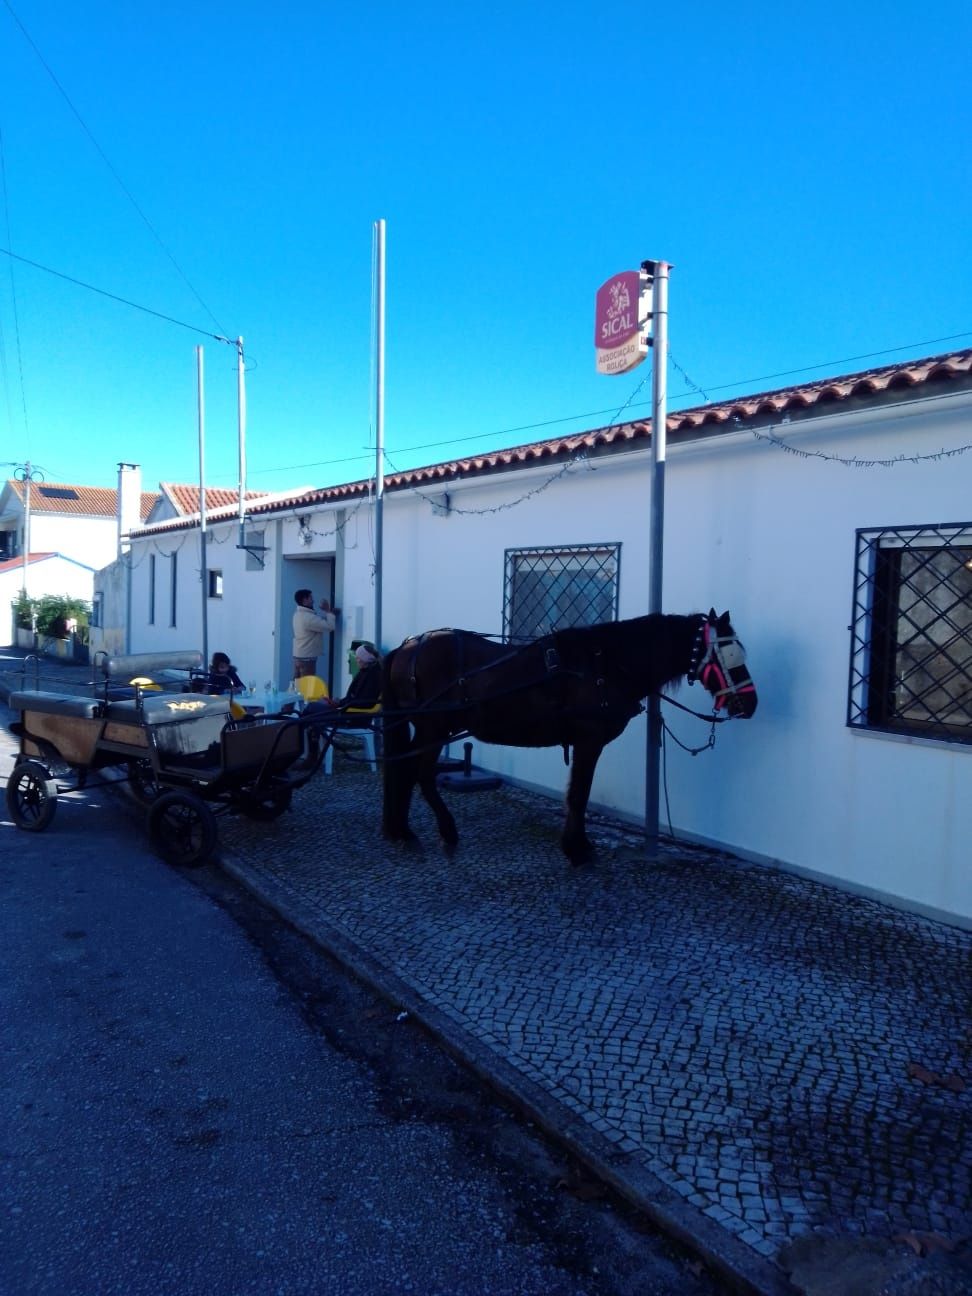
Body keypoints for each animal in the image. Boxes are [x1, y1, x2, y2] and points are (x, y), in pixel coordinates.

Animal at [383, 609, 762, 870]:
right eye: (729, 656)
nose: (750, 703)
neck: (605, 666)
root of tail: (408, 646)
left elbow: (578, 794)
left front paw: (579, 845)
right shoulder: (588, 740)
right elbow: (579, 794)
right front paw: (577, 850)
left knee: (405, 771)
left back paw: (402, 831)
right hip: (433, 728)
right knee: (419, 774)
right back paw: (441, 831)